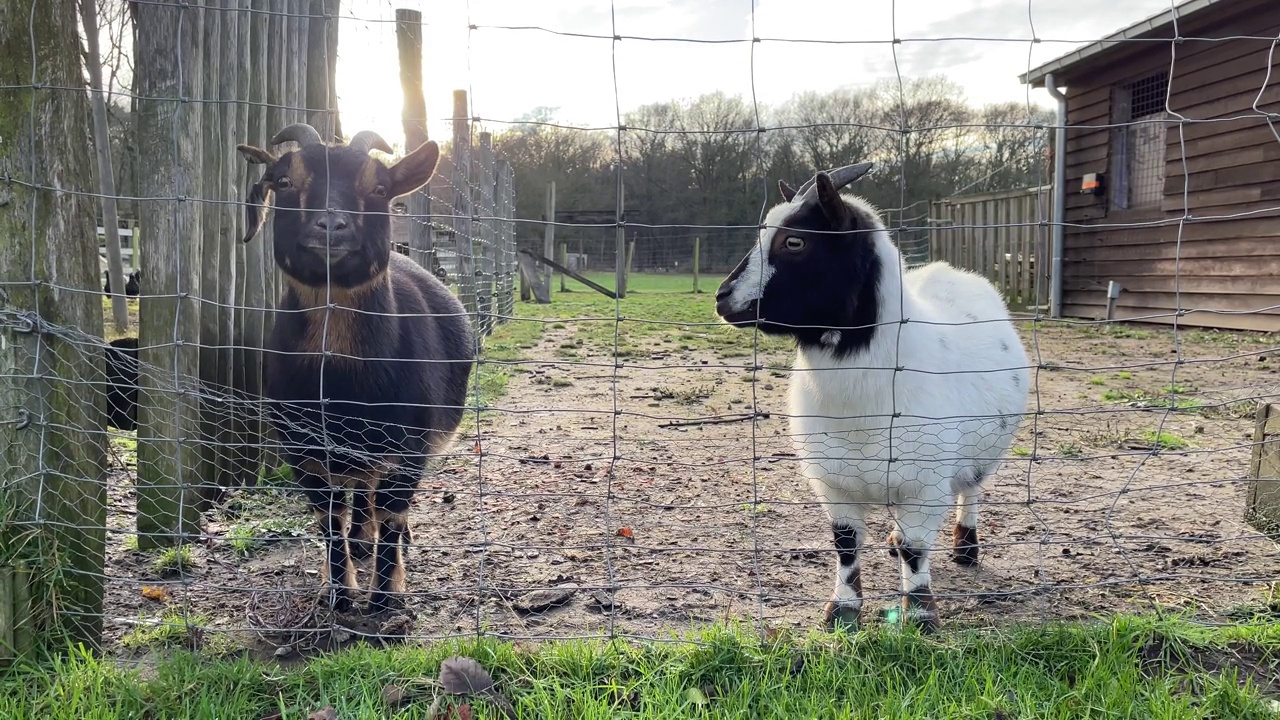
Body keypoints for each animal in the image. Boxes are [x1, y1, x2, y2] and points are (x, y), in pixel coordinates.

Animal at [236, 121, 476, 609]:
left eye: (379, 187)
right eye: (284, 181)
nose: (331, 224)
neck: (343, 387)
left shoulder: (410, 447)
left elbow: (393, 512)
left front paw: (385, 597)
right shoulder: (303, 451)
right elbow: (330, 518)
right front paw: (342, 593)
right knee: (360, 493)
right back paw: (360, 544)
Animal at [716, 162, 1034, 627]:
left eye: (795, 241)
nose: (723, 299)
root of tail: (950, 271)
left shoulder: (925, 484)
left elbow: (917, 552)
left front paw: (920, 615)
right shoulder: (835, 483)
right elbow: (846, 547)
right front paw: (842, 611)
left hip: (977, 455)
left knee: (971, 489)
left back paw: (966, 548)